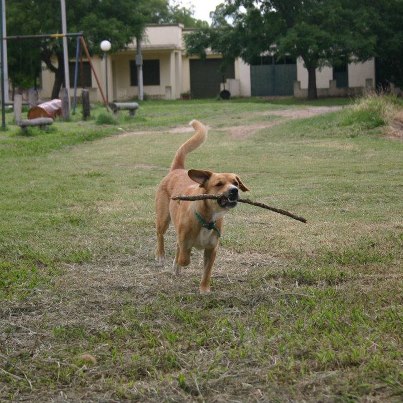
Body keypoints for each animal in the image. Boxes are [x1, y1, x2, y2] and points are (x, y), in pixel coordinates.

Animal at [155, 120, 248, 294]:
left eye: (236, 183)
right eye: (219, 184)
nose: (234, 191)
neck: (207, 218)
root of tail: (178, 169)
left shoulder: (212, 249)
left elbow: (207, 271)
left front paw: (204, 289)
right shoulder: (185, 240)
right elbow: (184, 258)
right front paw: (180, 262)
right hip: (163, 218)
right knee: (160, 235)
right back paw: (161, 256)